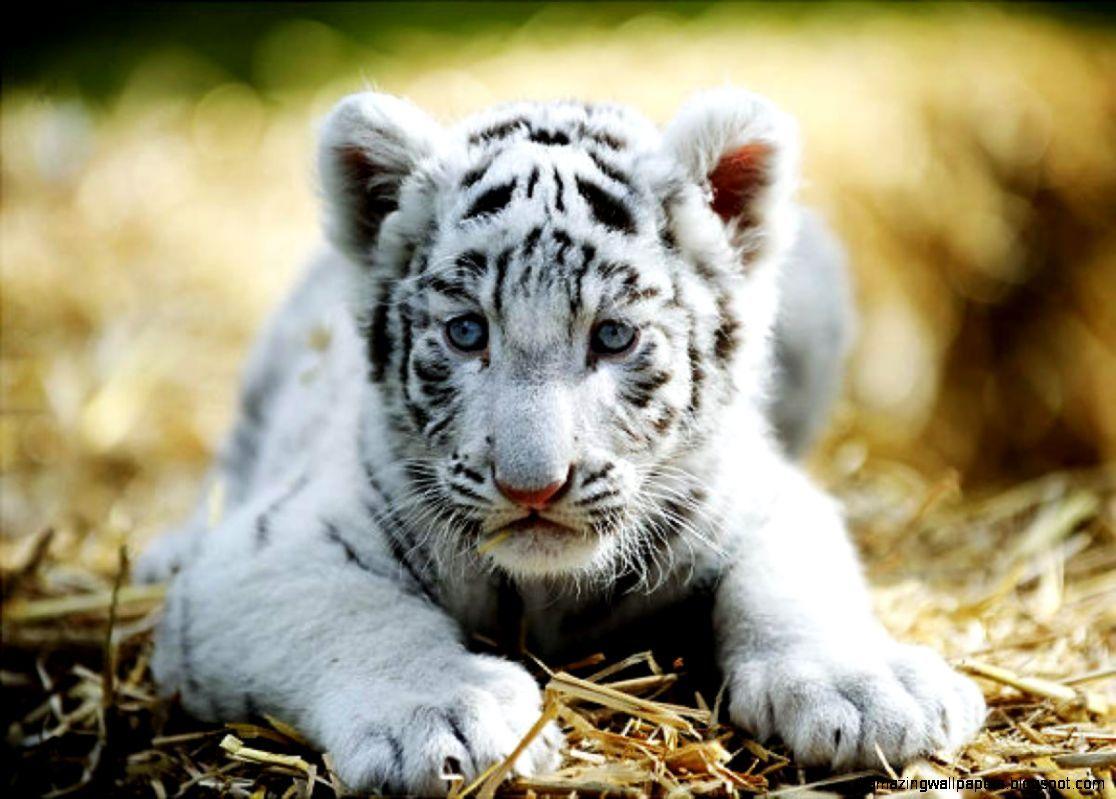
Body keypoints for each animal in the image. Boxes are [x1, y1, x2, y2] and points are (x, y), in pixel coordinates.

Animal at [138, 87, 985, 795]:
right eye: (467, 332)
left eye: (612, 336)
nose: (532, 485)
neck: (545, 591)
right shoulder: (266, 549)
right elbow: (348, 614)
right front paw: (449, 716)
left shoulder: (763, 496)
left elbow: (796, 587)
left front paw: (869, 692)